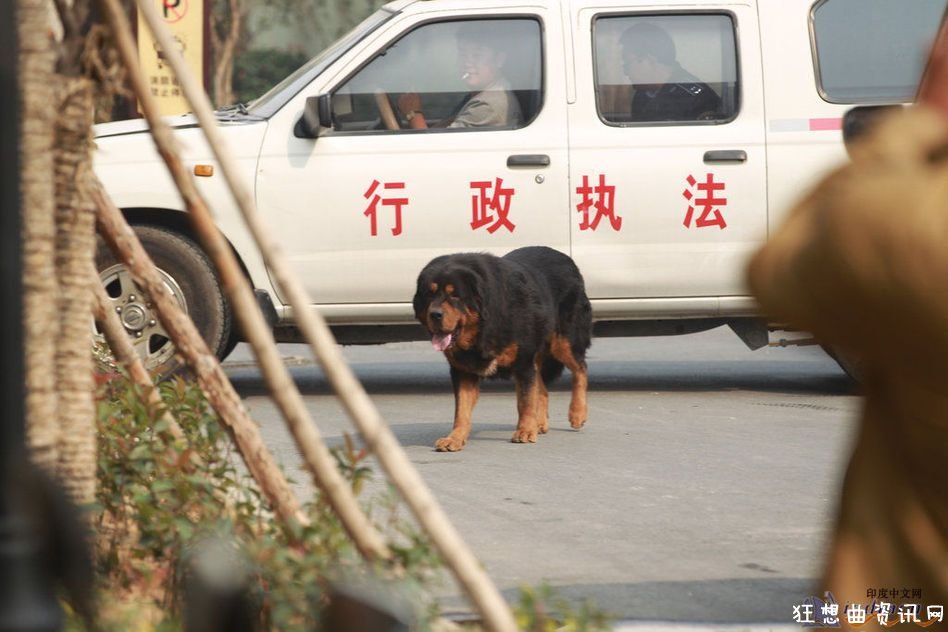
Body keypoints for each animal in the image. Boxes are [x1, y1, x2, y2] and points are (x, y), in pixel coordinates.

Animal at [412, 246, 588, 450]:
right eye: (430, 294)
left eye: (455, 295)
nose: (435, 314)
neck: (482, 329)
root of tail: (565, 257)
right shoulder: (462, 370)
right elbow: (461, 410)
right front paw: (455, 437)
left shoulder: (523, 362)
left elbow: (525, 401)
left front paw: (525, 431)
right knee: (543, 387)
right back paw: (540, 423)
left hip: (563, 342)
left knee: (580, 369)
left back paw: (577, 413)